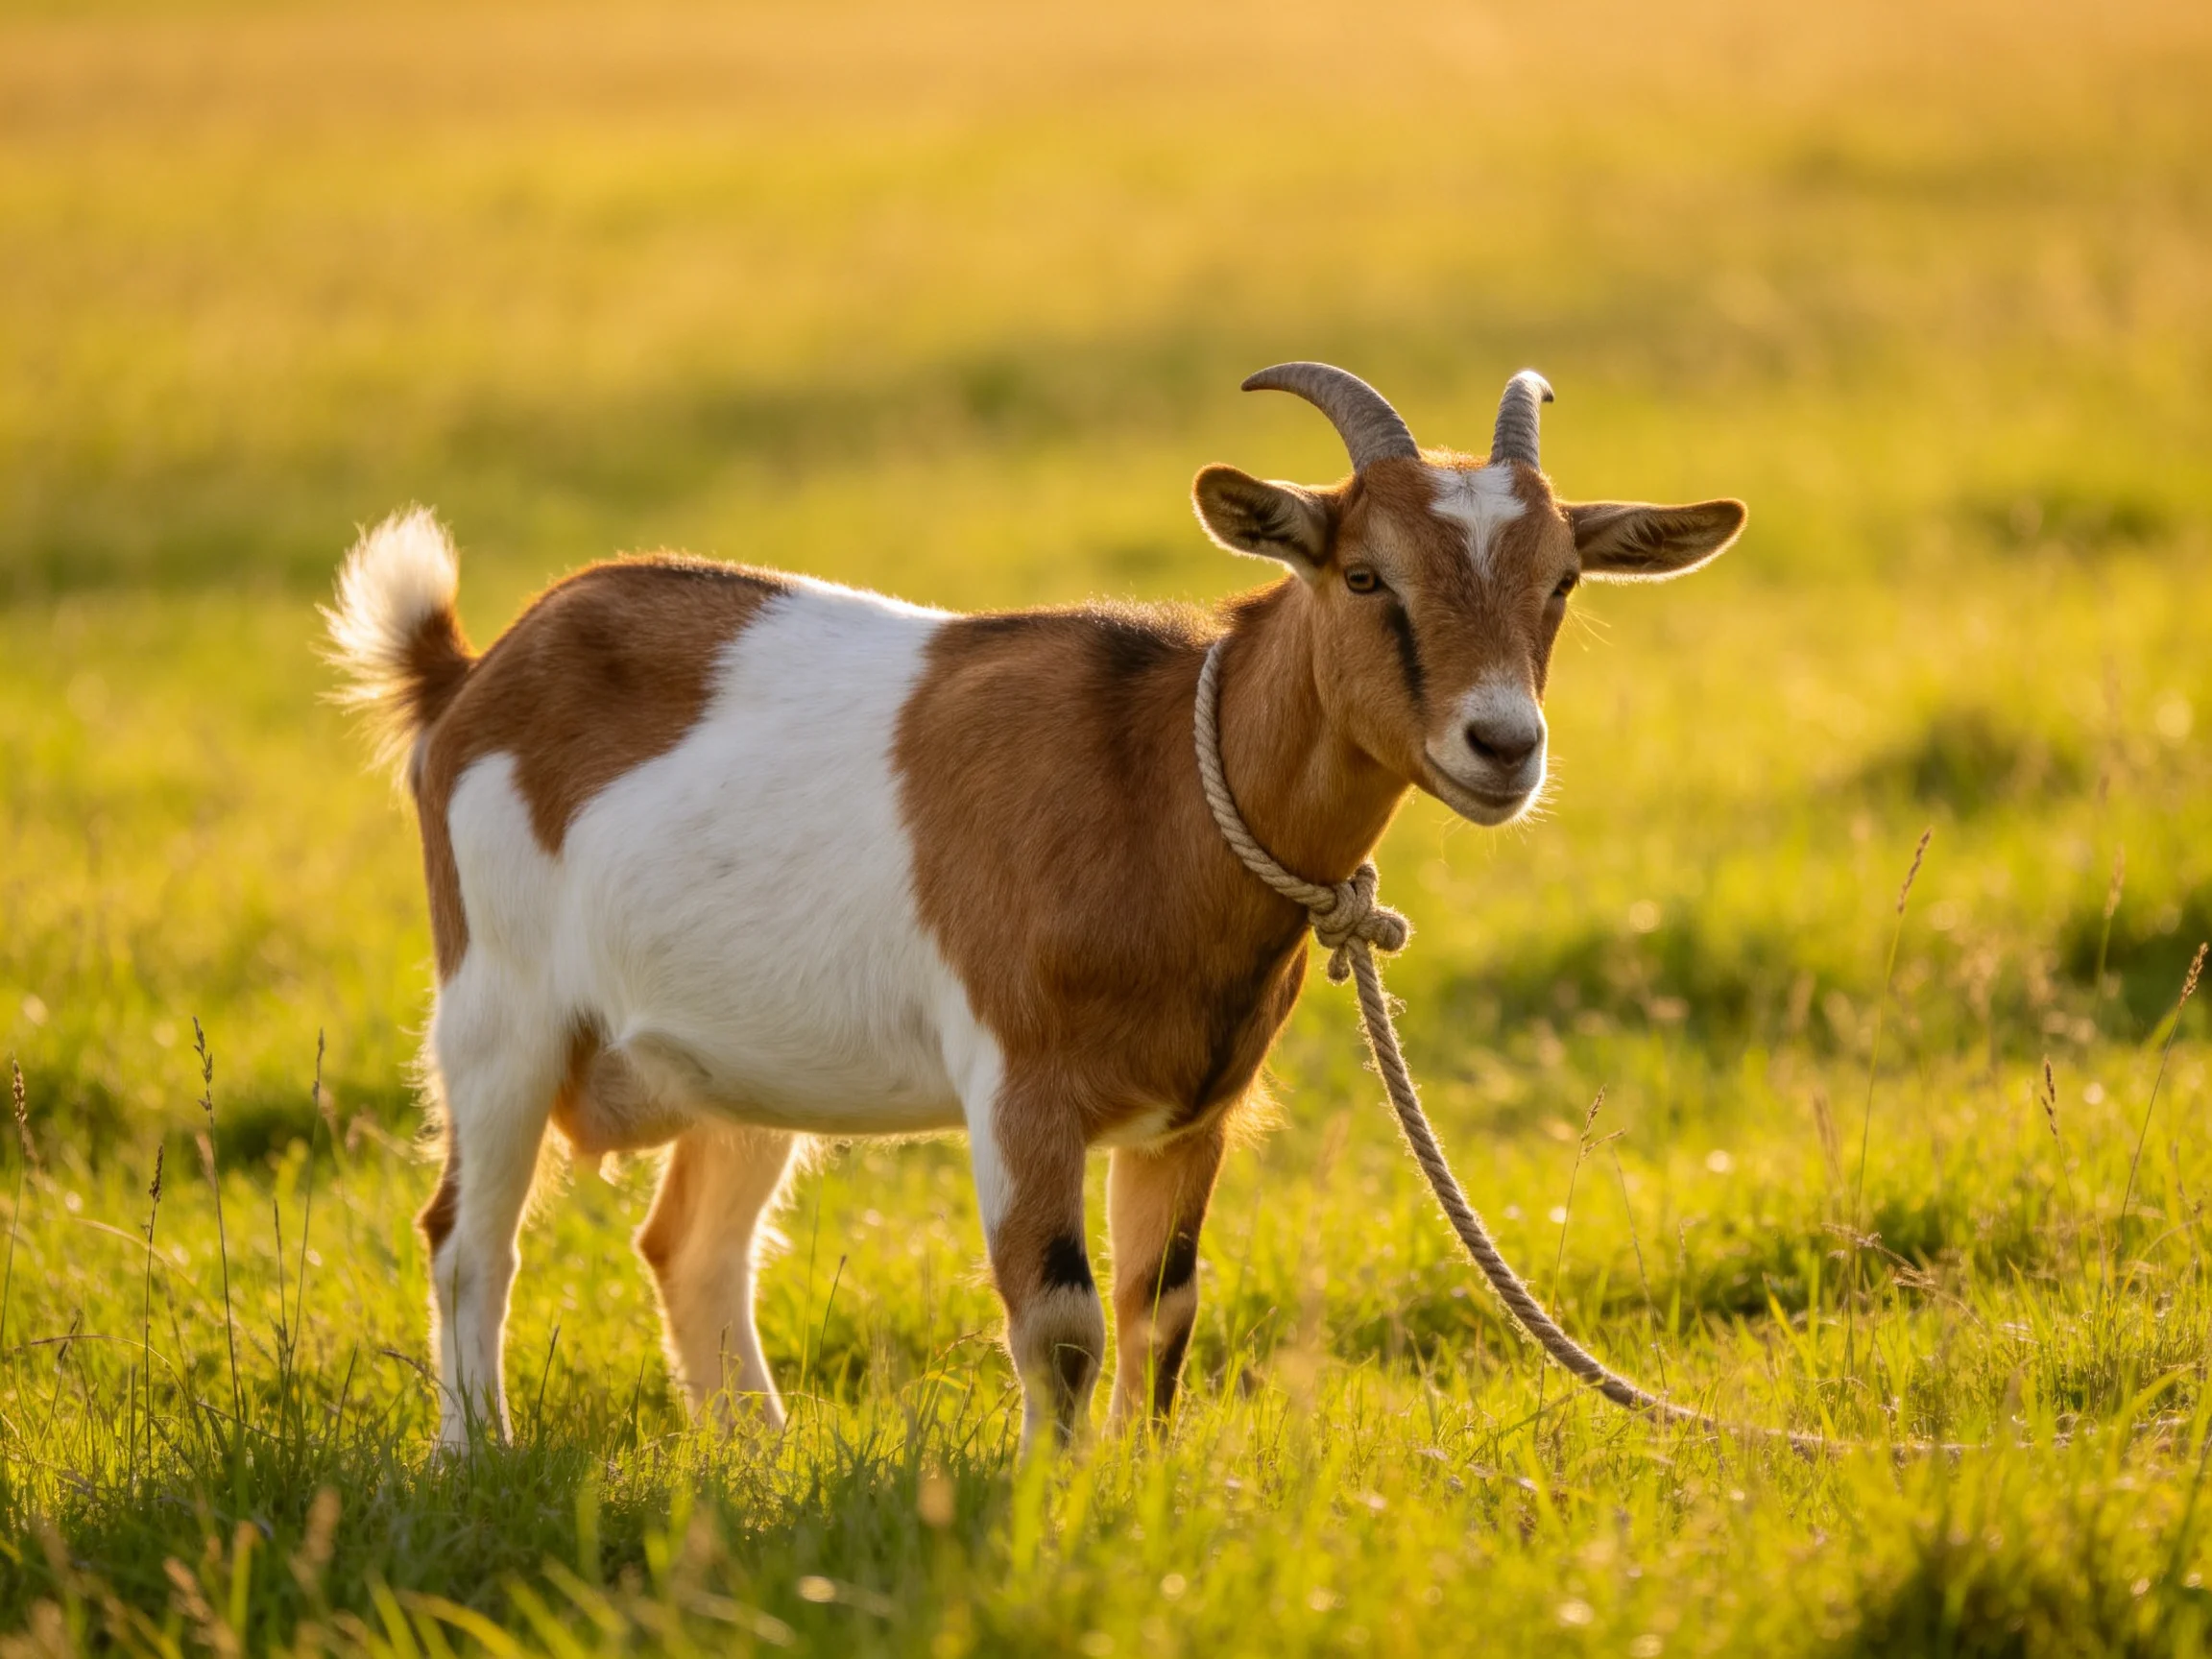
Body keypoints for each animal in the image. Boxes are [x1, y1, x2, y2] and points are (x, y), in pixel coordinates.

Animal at [326, 364, 1745, 1450]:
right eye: (1364, 576)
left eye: (1561, 581)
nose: (1502, 745)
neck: (1161, 782)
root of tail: (469, 675)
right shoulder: (1020, 1084)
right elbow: (1057, 1314)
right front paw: (1047, 1500)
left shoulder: (1195, 1107)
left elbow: (1161, 1304)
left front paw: (1140, 1483)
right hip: (498, 1009)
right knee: (467, 1236)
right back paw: (479, 1457)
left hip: (740, 1061)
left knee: (693, 1246)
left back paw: (756, 1461)